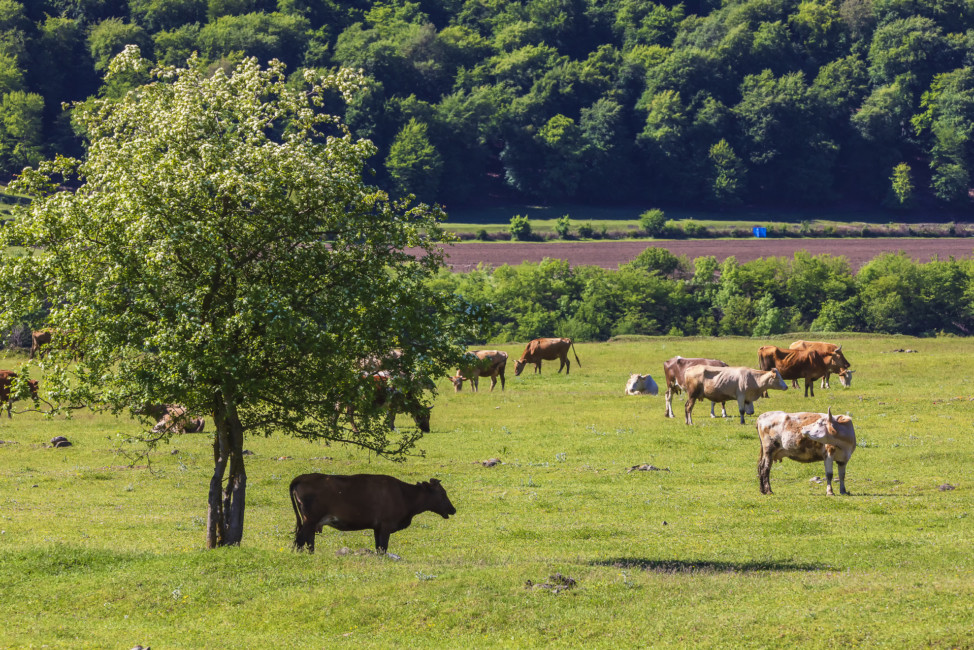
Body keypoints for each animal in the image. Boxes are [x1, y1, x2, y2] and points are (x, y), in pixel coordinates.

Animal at [290, 470, 458, 552]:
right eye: (443, 493)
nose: (453, 509)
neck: (404, 494)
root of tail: (302, 477)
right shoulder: (386, 525)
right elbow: (383, 548)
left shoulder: (377, 527)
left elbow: (378, 548)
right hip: (310, 520)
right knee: (300, 541)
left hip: (310, 523)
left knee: (308, 542)